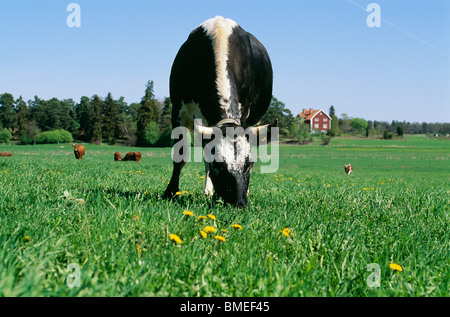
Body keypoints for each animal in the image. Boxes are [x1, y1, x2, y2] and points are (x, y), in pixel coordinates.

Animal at [163, 16, 276, 206]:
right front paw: (170, 192)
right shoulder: (178, 110)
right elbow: (181, 155)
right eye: (218, 164)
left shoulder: (245, 114)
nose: (239, 204)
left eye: (250, 164)